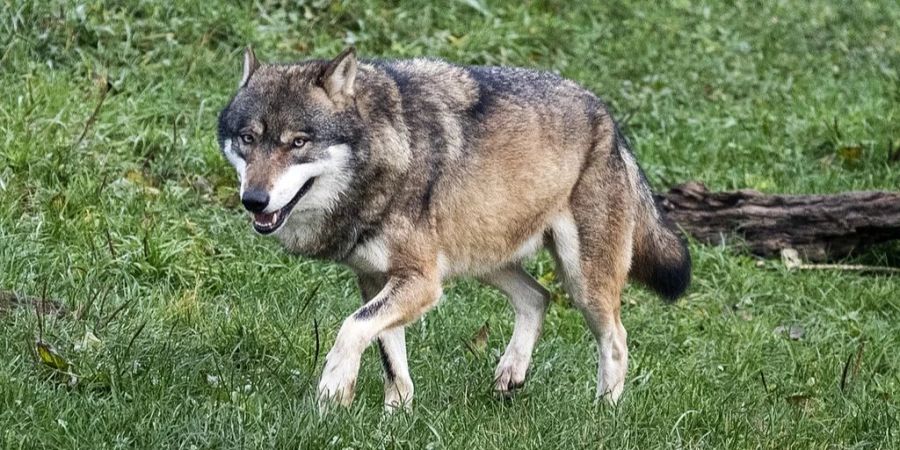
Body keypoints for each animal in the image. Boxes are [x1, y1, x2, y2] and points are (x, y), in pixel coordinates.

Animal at [216, 47, 688, 410]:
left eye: (298, 142)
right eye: (248, 139)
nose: (254, 200)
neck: (389, 155)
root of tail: (608, 118)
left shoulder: (422, 282)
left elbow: (351, 328)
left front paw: (334, 391)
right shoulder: (375, 279)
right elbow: (391, 358)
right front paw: (397, 416)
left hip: (583, 283)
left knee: (616, 338)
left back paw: (603, 411)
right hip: (485, 260)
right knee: (538, 297)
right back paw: (511, 373)